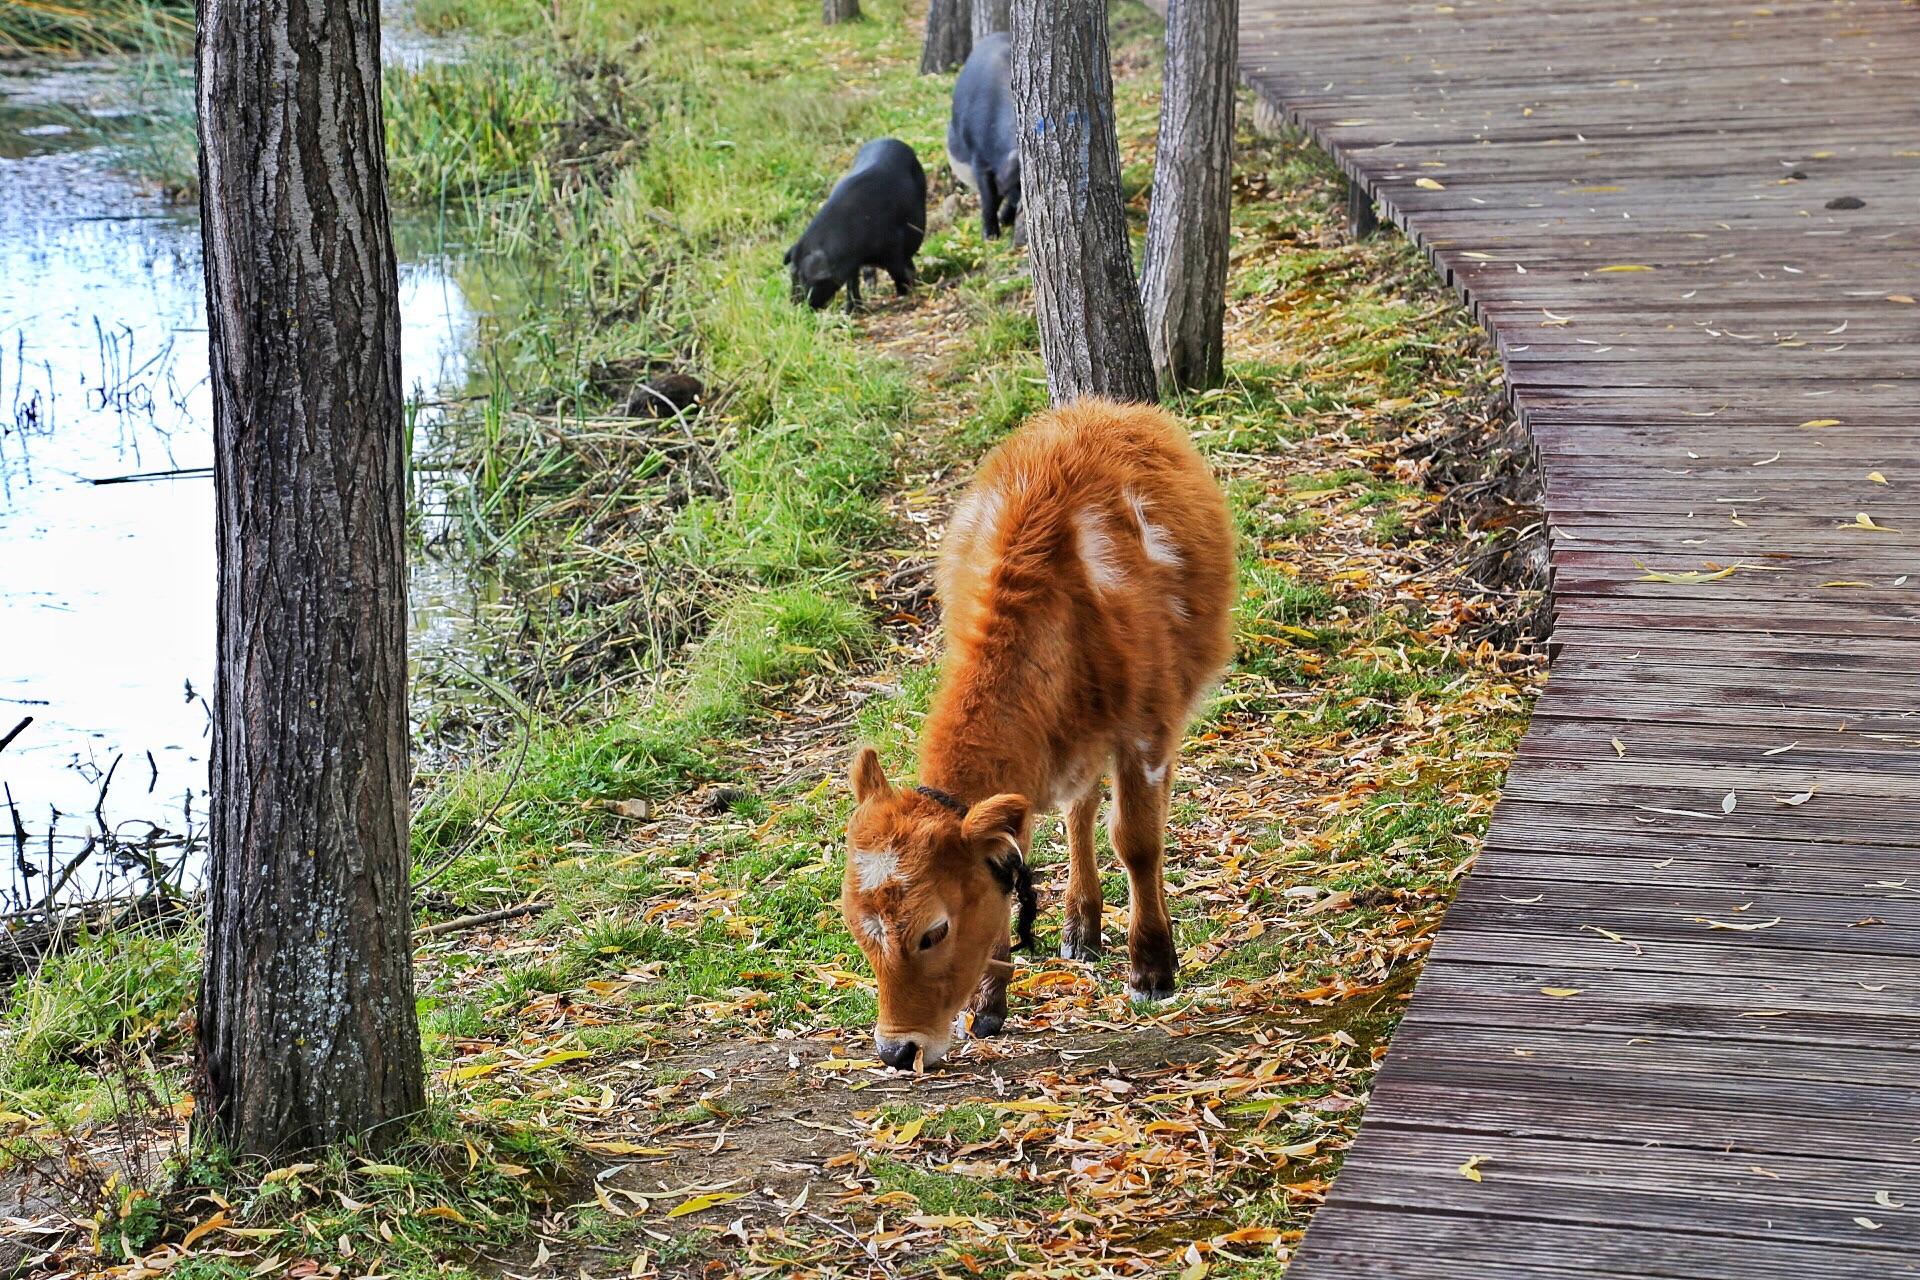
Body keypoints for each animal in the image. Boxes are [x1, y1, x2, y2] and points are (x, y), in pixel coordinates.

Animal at [783, 139, 925, 310]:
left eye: (804, 279)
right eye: (792, 274)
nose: (794, 305)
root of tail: (887, 139)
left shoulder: (893, 246)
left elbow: (896, 270)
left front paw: (903, 293)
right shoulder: (851, 263)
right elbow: (852, 283)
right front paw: (851, 310)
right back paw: (871, 288)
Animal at [848, 401, 1236, 1074]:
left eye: (934, 931)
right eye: (856, 933)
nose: (898, 1049)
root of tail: (1109, 409)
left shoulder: (1147, 727)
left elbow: (1138, 841)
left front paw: (1152, 968)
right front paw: (990, 1002)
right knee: (1080, 810)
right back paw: (1081, 925)